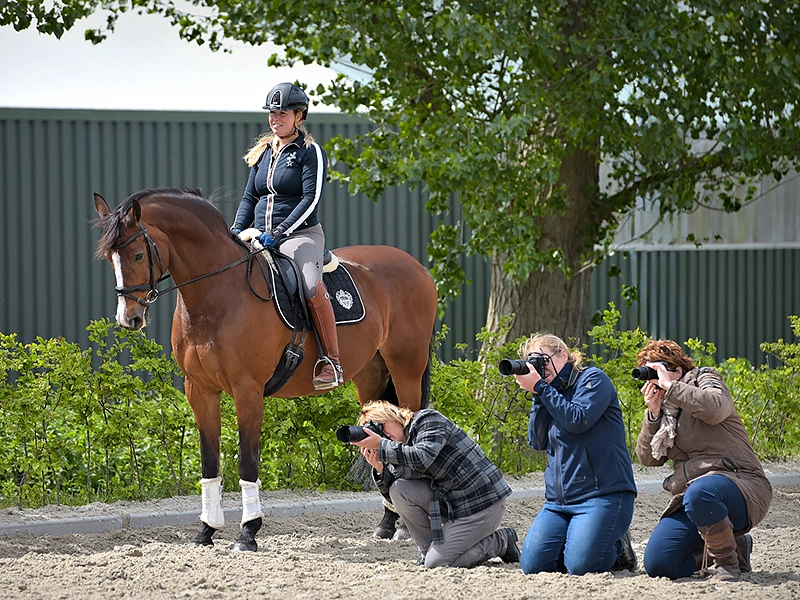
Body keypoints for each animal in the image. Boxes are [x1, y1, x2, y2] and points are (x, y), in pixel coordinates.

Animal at [94, 188, 438, 548]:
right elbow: (209, 462)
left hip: (406, 368)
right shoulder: (199, 390)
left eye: (136, 255)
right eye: (111, 258)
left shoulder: (247, 390)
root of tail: (416, 266)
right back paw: (387, 523)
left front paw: (248, 531)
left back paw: (403, 527)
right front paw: (206, 530)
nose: (128, 318)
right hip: (370, 375)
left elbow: (247, 462)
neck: (217, 293)